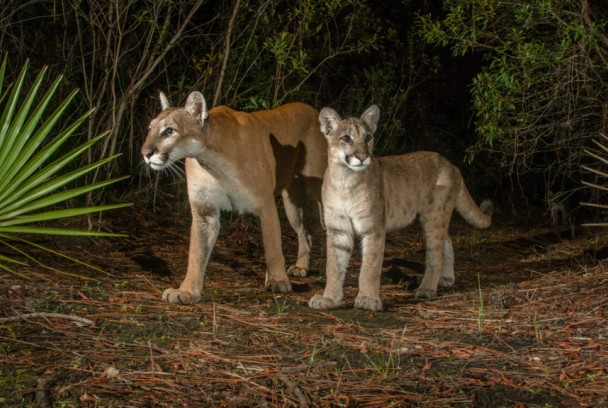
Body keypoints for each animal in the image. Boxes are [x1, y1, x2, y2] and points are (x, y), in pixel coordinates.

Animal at [141, 91, 328, 302]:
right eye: (150, 128)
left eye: (169, 131)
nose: (145, 153)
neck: (210, 160)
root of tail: (312, 109)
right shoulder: (205, 211)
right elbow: (196, 254)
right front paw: (187, 292)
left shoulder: (265, 204)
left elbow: (272, 247)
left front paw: (278, 281)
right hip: (292, 202)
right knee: (306, 232)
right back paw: (301, 267)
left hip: (320, 187)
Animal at [306, 103, 492, 310]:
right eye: (346, 138)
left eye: (368, 137)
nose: (363, 156)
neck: (345, 180)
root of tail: (453, 165)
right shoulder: (338, 229)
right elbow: (333, 267)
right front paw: (329, 299)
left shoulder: (373, 228)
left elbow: (370, 267)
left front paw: (368, 299)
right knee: (448, 241)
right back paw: (446, 279)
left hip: (434, 216)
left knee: (435, 254)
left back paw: (426, 289)